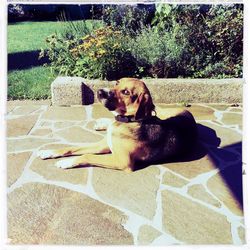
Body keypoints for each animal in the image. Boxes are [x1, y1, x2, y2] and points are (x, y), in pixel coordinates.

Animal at [38, 77, 197, 172]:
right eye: (117, 83)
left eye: (126, 92)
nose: (100, 91)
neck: (129, 121)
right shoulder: (102, 145)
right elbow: (70, 148)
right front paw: (49, 152)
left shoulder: (121, 162)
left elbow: (87, 156)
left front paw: (66, 162)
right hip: (161, 114)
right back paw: (102, 123)